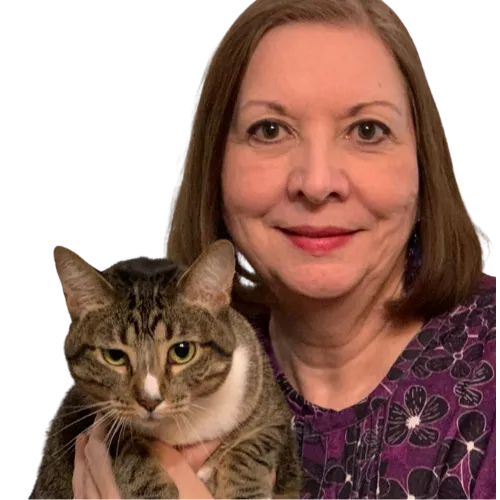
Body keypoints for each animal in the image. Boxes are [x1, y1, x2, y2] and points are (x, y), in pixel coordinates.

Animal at [32, 240, 302, 499]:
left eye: (182, 351)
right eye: (115, 356)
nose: (149, 401)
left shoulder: (274, 415)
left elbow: (252, 449)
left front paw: (244, 492)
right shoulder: (96, 420)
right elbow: (130, 451)